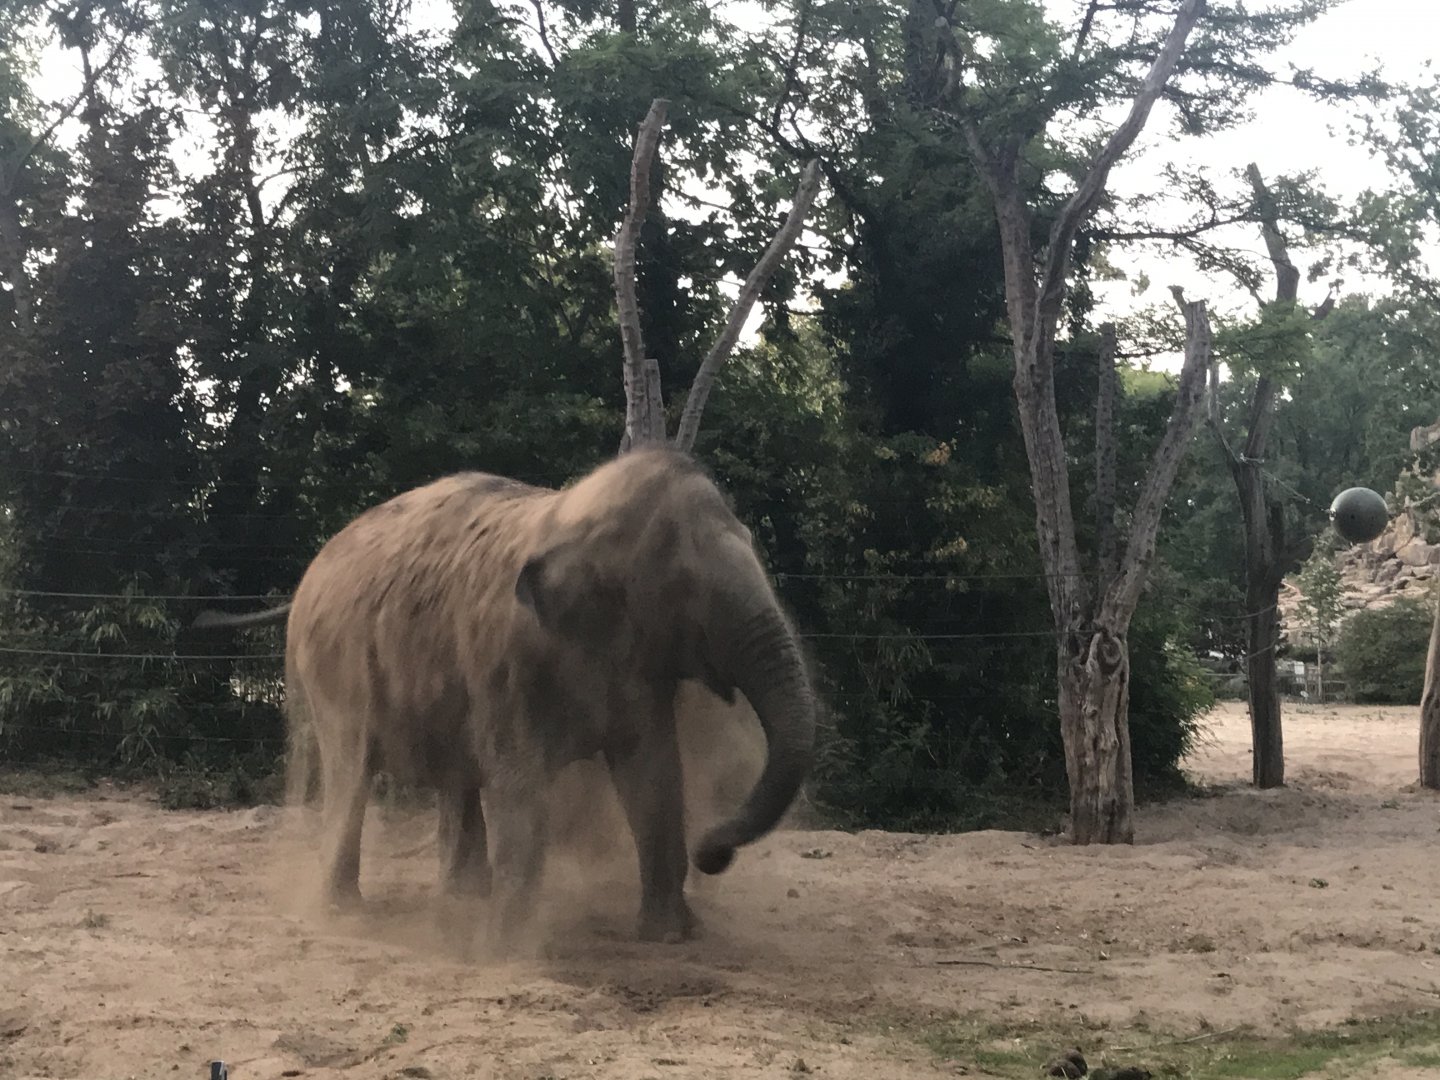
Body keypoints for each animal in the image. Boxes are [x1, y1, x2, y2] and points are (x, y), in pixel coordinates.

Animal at [197, 448, 817, 944]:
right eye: (686, 589)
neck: (576, 515)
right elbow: (520, 782)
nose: (714, 853)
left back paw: (462, 897)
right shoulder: (504, 658)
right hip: (336, 667)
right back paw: (344, 911)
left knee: (454, 776)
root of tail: (310, 572)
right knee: (351, 771)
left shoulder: (636, 670)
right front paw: (507, 945)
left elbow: (655, 775)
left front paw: (671, 937)